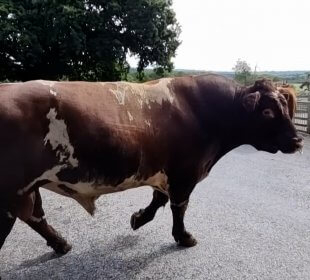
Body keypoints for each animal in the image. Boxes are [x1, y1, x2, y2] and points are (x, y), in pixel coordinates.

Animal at [0, 74, 302, 256]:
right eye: (267, 111)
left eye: (286, 108)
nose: (298, 141)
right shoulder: (185, 173)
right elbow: (179, 207)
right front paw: (183, 237)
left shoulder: (166, 172)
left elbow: (159, 200)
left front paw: (138, 218)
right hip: (14, 188)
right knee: (24, 219)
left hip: (26, 188)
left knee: (34, 217)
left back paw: (61, 244)